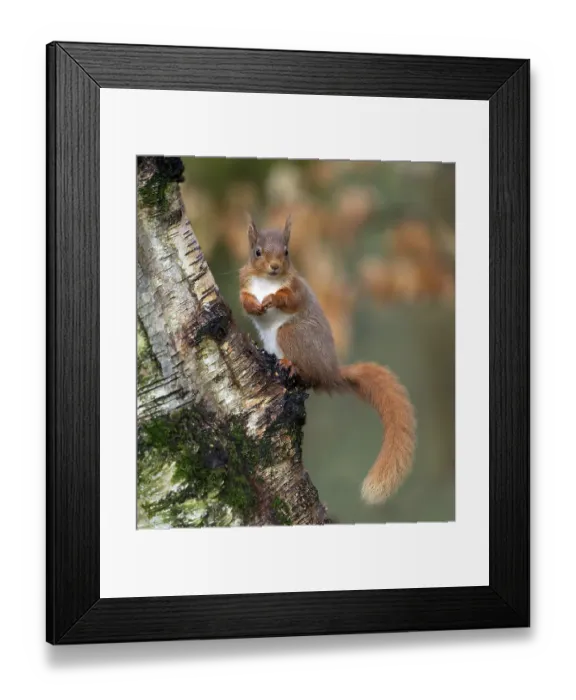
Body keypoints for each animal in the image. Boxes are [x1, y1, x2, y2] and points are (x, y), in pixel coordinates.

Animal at [239, 216, 416, 505]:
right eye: (257, 252)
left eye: (286, 252)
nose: (275, 267)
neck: (267, 282)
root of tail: (330, 371)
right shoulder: (245, 282)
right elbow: (245, 301)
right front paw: (255, 305)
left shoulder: (297, 288)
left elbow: (291, 299)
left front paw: (274, 298)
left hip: (292, 334)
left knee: (307, 371)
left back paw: (290, 364)